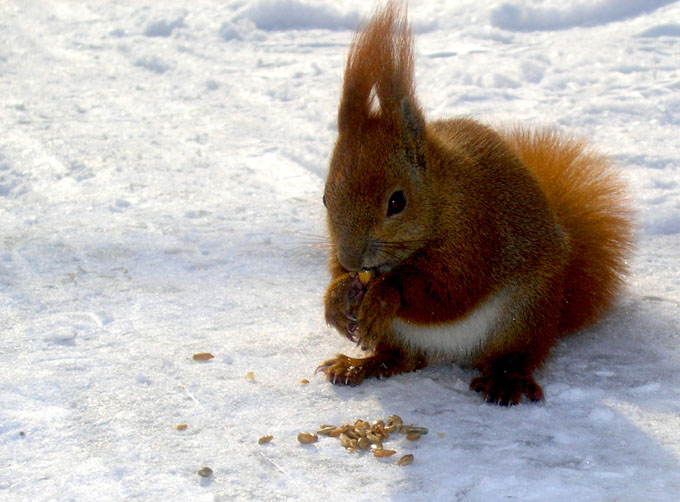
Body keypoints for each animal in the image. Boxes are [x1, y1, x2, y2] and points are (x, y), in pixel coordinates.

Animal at [316, 1, 636, 406]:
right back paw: (360, 366)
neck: (444, 196)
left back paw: (504, 380)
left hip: (524, 313)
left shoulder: (475, 235)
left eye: (397, 201)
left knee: (516, 355)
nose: (352, 259)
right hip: (403, 334)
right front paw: (338, 295)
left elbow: (450, 291)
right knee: (402, 358)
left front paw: (385, 294)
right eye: (325, 198)